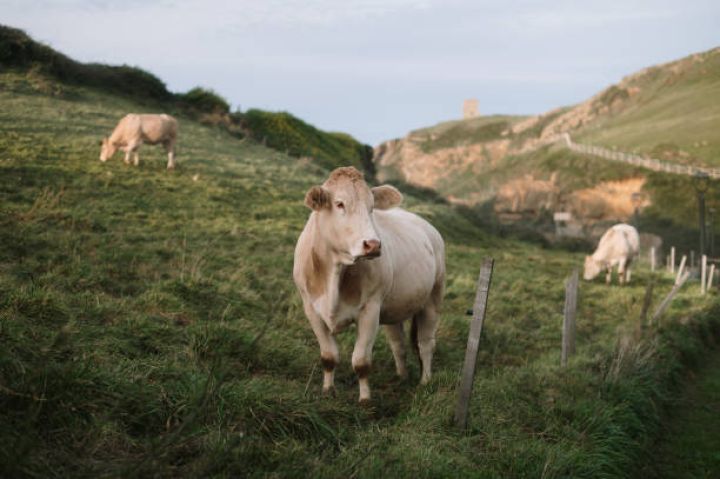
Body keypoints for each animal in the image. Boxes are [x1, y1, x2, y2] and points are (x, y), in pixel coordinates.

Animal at [292, 167, 444, 404]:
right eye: (339, 204)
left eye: (372, 207)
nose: (373, 245)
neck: (334, 274)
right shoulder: (311, 309)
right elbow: (329, 356)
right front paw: (327, 390)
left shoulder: (370, 310)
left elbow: (361, 362)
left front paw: (365, 400)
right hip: (393, 308)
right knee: (398, 344)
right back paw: (401, 376)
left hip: (433, 298)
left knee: (426, 343)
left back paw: (425, 382)